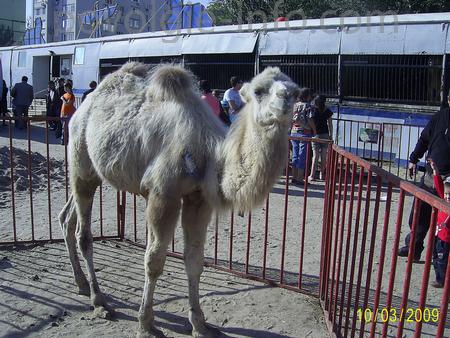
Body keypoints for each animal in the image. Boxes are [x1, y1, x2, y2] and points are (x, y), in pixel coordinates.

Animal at [59, 62, 298, 336]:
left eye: (296, 91)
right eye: (258, 91)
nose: (286, 98)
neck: (208, 156)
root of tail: (82, 109)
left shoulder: (198, 200)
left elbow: (194, 261)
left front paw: (200, 324)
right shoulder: (164, 195)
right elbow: (154, 260)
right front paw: (146, 324)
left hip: (92, 170)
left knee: (67, 217)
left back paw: (81, 284)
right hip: (81, 160)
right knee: (84, 234)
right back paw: (99, 301)